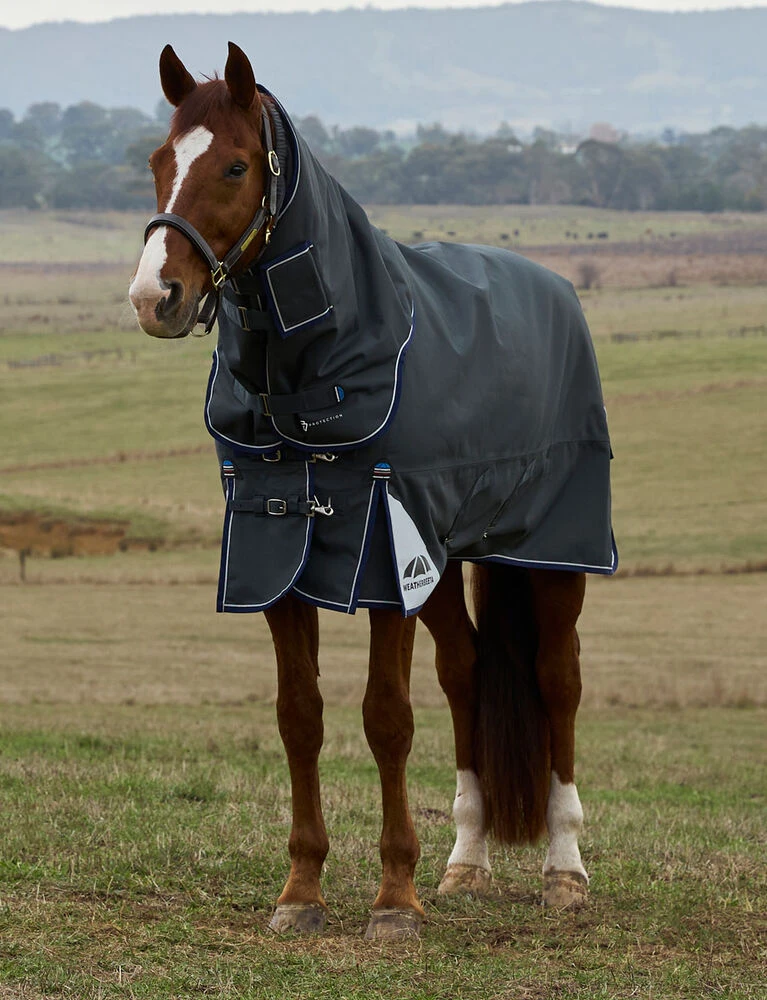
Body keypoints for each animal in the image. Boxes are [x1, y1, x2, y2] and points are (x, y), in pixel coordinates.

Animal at [129, 42, 616, 940]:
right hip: (448, 559)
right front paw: (301, 892)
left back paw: (564, 869)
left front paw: (393, 900)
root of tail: (552, 289)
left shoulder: (383, 557)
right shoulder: (279, 553)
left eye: (235, 165)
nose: (155, 297)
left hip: (552, 551)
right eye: (157, 162)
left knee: (557, 678)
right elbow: (300, 717)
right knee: (466, 673)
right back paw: (467, 861)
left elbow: (386, 718)